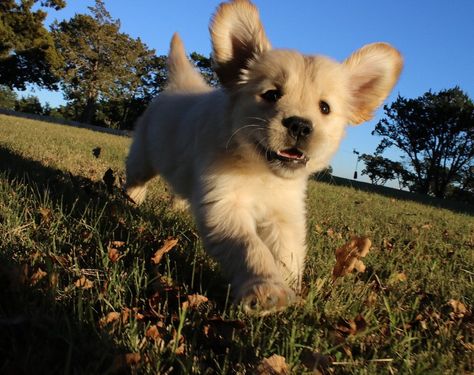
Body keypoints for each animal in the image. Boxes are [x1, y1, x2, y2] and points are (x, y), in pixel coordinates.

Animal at [124, 0, 402, 316]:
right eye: (271, 94)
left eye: (325, 108)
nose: (299, 125)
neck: (261, 171)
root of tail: (178, 87)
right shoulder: (226, 205)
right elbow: (250, 247)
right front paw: (267, 290)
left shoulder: (285, 214)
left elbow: (289, 251)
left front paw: (288, 285)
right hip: (143, 157)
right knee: (135, 178)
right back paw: (132, 199)